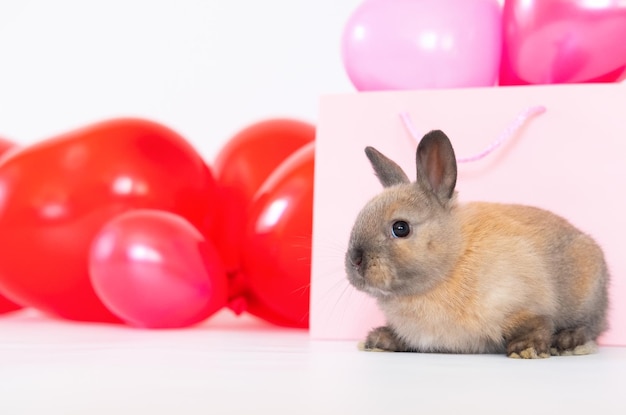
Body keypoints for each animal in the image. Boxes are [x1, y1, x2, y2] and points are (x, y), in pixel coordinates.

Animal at [344, 131, 608, 360]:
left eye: (401, 228)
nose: (355, 260)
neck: (451, 263)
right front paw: (378, 340)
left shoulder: (522, 303)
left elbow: (537, 324)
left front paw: (526, 349)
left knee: (589, 327)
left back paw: (568, 342)